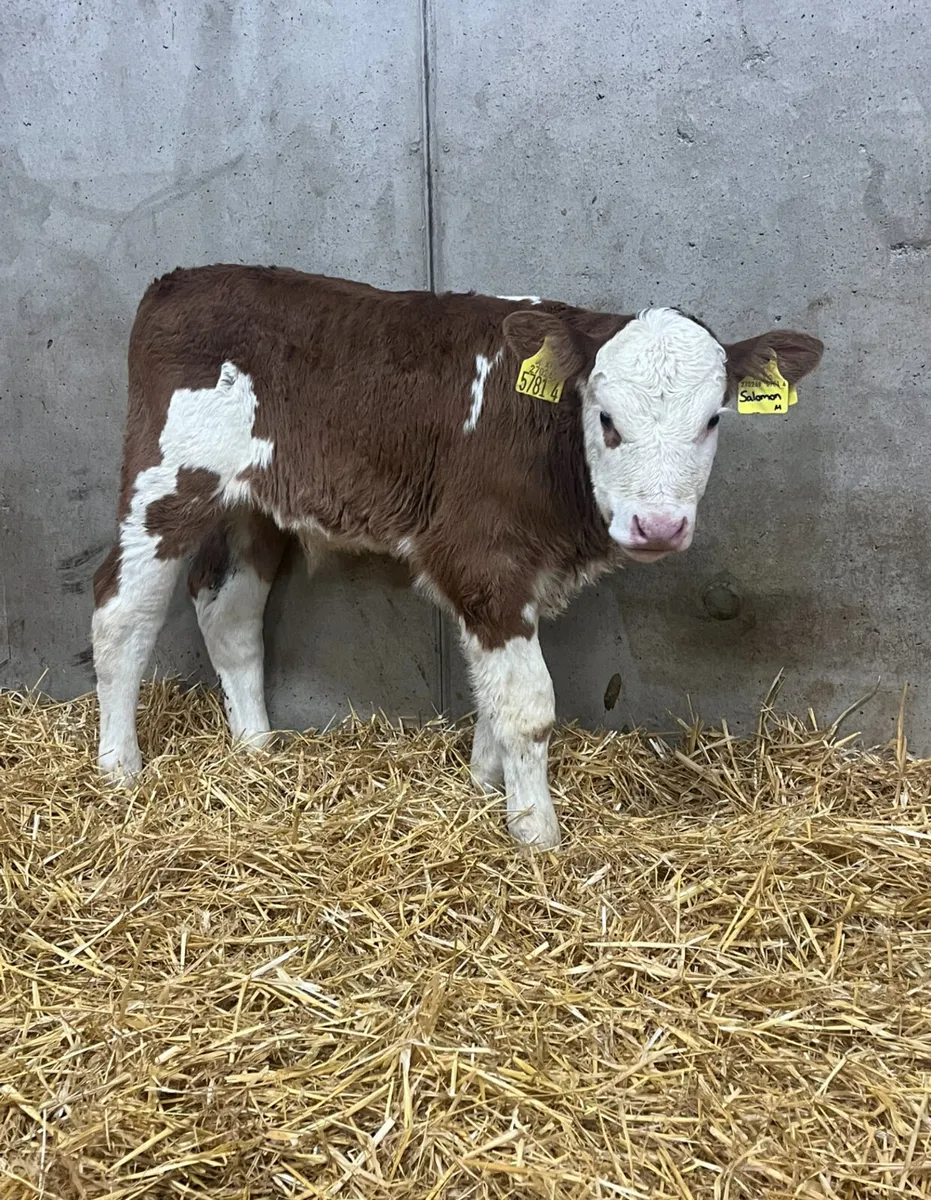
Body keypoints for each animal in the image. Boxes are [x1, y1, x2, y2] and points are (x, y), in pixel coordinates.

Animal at [92, 266, 823, 849]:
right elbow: (527, 706)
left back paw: (255, 747)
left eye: (713, 420)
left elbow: (493, 695)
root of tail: (183, 279)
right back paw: (118, 767)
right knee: (120, 612)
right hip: (165, 483)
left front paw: (483, 785)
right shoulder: (479, 557)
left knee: (229, 613)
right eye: (607, 419)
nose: (659, 525)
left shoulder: (520, 574)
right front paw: (536, 833)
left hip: (255, 505)